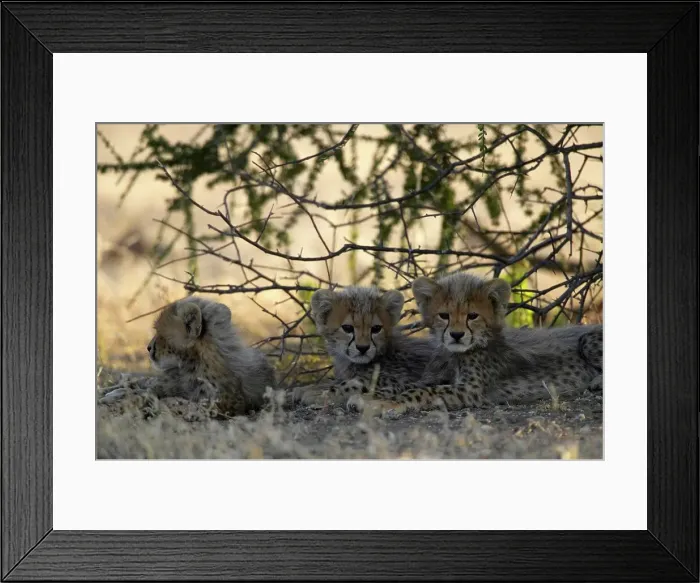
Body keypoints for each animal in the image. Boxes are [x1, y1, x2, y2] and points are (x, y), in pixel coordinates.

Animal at [99, 296, 277, 418]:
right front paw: (111, 393)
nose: (148, 348)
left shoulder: (218, 403)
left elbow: (148, 394)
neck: (192, 364)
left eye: (160, 333)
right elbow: (137, 387)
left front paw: (119, 397)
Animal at [290, 285, 436, 408]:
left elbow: (353, 384)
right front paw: (308, 388)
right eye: (347, 328)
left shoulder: (402, 378)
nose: (363, 348)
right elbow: (335, 381)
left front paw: (321, 394)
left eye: (376, 328)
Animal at [351, 271, 603, 416]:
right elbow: (411, 384)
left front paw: (387, 404)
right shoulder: (436, 376)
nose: (456, 335)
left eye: (472, 316)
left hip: (587, 339)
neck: (457, 354)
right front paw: (368, 396)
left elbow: (422, 391)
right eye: (444, 315)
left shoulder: (472, 391)